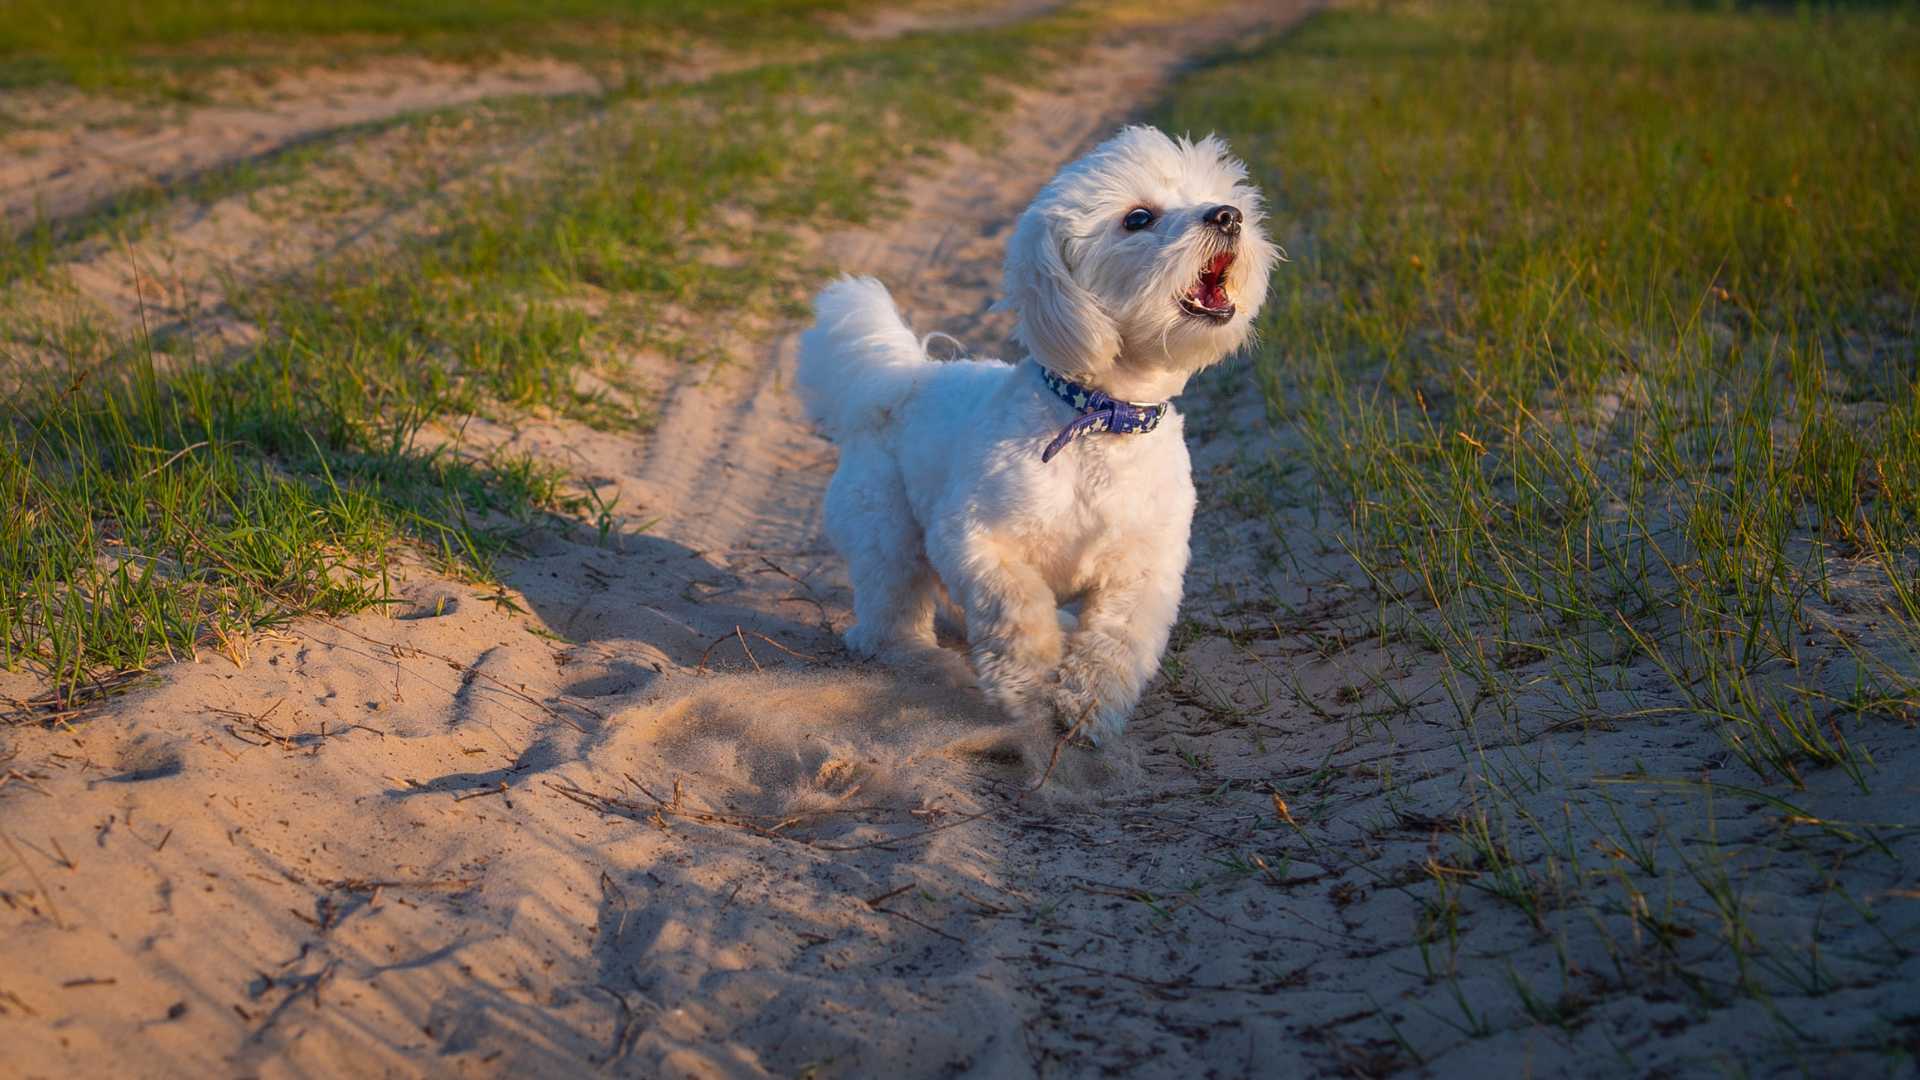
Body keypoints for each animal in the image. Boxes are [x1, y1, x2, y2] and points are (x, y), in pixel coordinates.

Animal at [794, 119, 1274, 737]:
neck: (1102, 418)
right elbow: (1016, 610)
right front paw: (1026, 688)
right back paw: (925, 662)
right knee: (886, 621)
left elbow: (1117, 642)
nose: (1228, 216)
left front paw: (1089, 705)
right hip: (888, 532)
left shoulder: (1143, 569)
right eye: (1138, 218)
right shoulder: (975, 540)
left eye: (1220, 198)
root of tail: (901, 377)